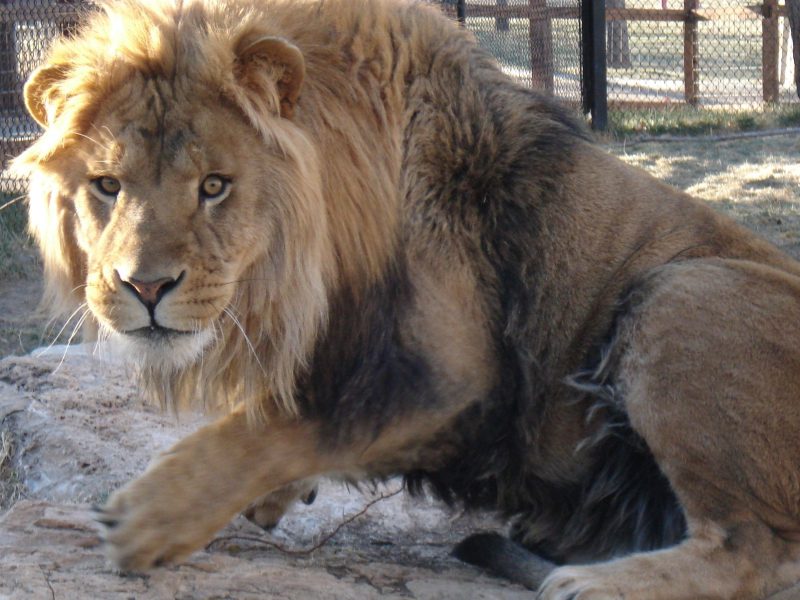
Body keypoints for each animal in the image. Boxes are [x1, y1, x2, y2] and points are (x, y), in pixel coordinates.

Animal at [14, 0, 800, 597]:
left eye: (214, 186)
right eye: (106, 186)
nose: (144, 287)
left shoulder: (451, 378)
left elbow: (281, 430)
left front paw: (151, 516)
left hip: (680, 291)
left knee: (756, 548)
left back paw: (593, 583)